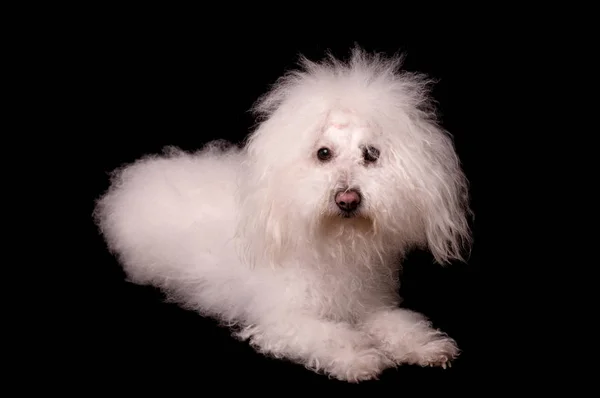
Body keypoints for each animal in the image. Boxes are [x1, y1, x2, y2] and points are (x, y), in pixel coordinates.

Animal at [95, 47, 474, 382]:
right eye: (323, 154)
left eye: (371, 154)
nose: (347, 199)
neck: (334, 247)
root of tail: (140, 173)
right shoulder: (286, 321)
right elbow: (331, 335)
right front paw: (360, 358)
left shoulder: (371, 306)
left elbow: (399, 323)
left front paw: (426, 346)